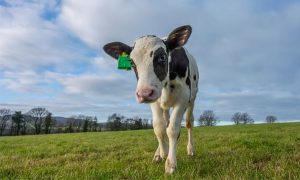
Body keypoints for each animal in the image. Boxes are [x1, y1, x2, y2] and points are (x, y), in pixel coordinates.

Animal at [103, 25, 199, 173]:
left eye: (162, 57)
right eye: (131, 62)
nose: (144, 93)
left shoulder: (183, 97)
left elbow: (173, 129)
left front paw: (171, 163)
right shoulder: (154, 100)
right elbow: (159, 128)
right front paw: (163, 153)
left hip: (192, 99)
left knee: (189, 122)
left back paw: (190, 149)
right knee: (164, 123)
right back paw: (158, 154)